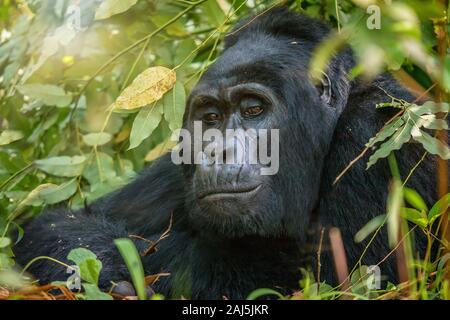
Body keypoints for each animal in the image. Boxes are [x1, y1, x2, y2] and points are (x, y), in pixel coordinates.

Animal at [15, 8, 434, 300]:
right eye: (211, 118)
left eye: (253, 109)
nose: (218, 150)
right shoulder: (178, 159)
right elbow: (62, 223)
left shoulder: (376, 134)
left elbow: (350, 282)